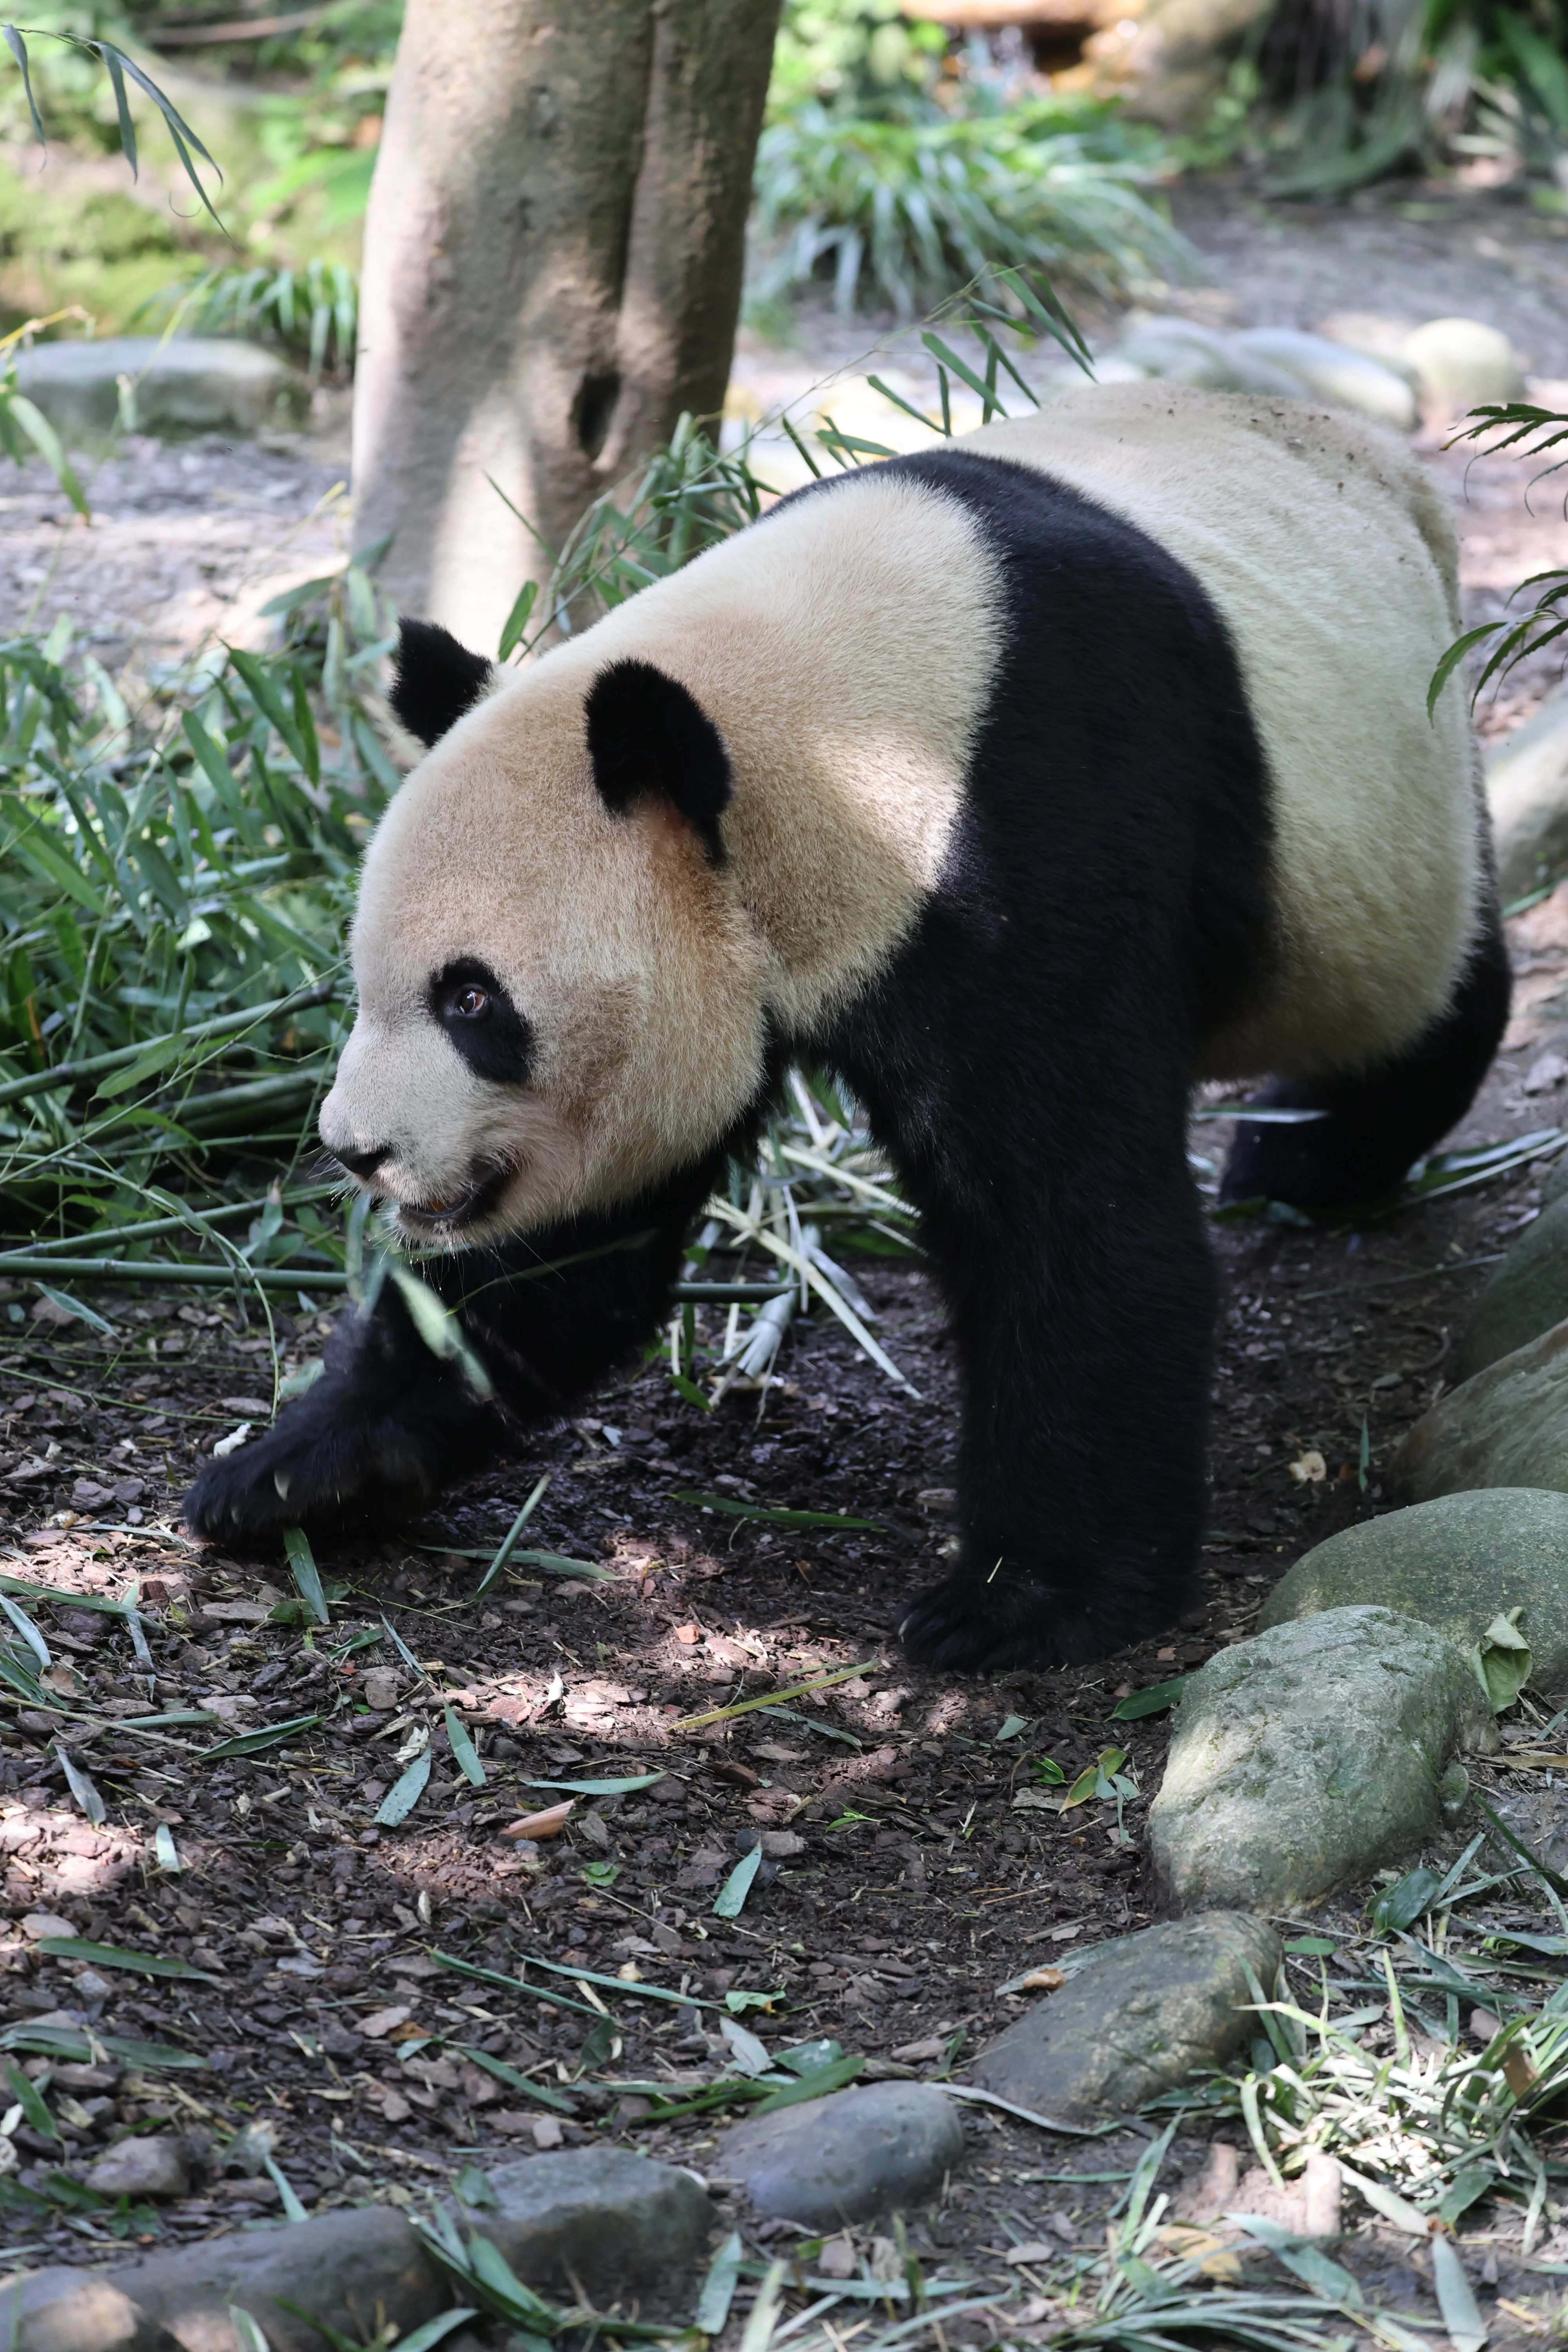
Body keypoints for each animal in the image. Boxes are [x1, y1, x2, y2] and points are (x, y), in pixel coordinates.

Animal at [184, 380, 1509, 1672]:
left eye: (471, 1002)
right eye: (369, 983)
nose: (357, 1150)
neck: (826, 730)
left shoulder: (1036, 829)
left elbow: (1066, 1216)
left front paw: (1024, 1602)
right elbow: (568, 1255)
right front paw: (295, 1471)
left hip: (1383, 819)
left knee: (1429, 991)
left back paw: (1308, 1153)